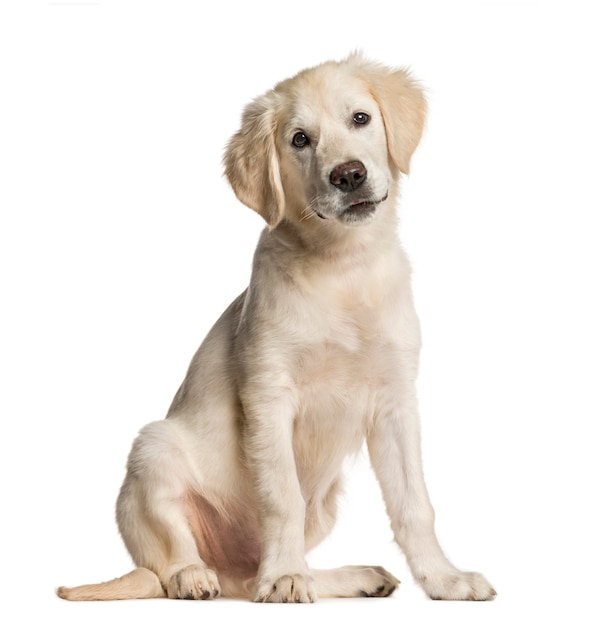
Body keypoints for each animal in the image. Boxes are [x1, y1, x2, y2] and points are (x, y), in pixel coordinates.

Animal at [57, 52, 496, 600]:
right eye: (300, 139)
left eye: (361, 118)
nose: (348, 175)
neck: (342, 269)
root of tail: (231, 568)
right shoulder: (269, 395)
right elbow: (281, 498)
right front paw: (284, 575)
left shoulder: (396, 401)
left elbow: (415, 504)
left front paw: (444, 578)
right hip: (153, 451)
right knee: (168, 561)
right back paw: (199, 576)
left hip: (322, 503)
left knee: (257, 574)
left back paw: (351, 576)